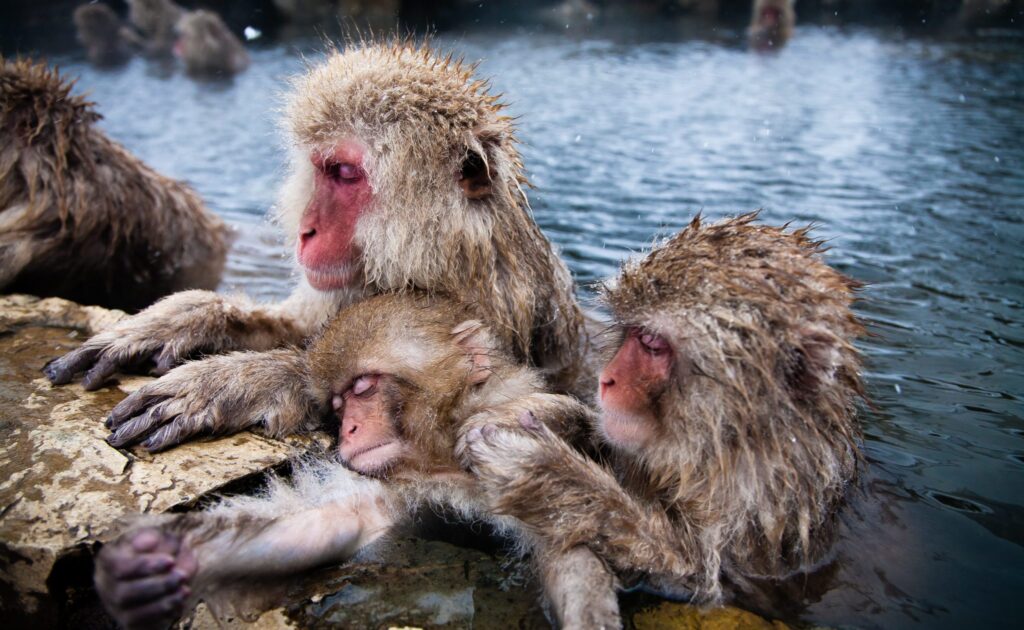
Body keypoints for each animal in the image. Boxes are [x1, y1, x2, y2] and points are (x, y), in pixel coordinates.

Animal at [44, 40, 590, 453]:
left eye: (344, 173)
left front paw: (240, 382)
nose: (305, 230)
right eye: (319, 168)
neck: (436, 259)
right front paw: (181, 319)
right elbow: (303, 326)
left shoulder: (487, 307)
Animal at [92, 293, 620, 629]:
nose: (346, 430)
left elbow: (573, 548)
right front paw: (144, 569)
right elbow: (325, 525)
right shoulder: (402, 485)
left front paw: (525, 418)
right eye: (338, 405)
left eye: (363, 388)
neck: (441, 458)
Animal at [458, 213, 866, 608]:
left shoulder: (758, 532)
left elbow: (693, 577)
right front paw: (528, 414)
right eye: (633, 333)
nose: (606, 379)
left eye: (653, 345)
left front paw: (541, 471)